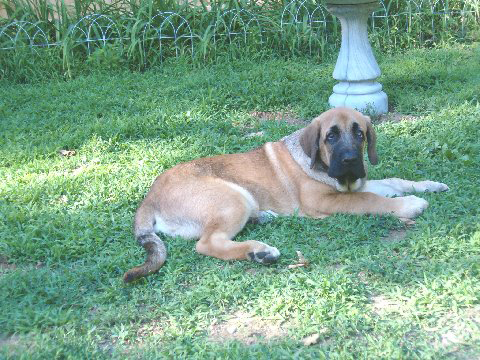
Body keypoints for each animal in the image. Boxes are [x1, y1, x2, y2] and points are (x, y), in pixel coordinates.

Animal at [123, 107, 446, 282]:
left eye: (360, 134)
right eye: (330, 136)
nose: (351, 160)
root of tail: (149, 197)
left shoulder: (358, 183)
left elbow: (392, 182)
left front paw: (429, 184)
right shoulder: (326, 200)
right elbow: (373, 200)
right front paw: (410, 204)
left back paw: (262, 222)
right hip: (232, 197)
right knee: (207, 244)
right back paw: (261, 251)